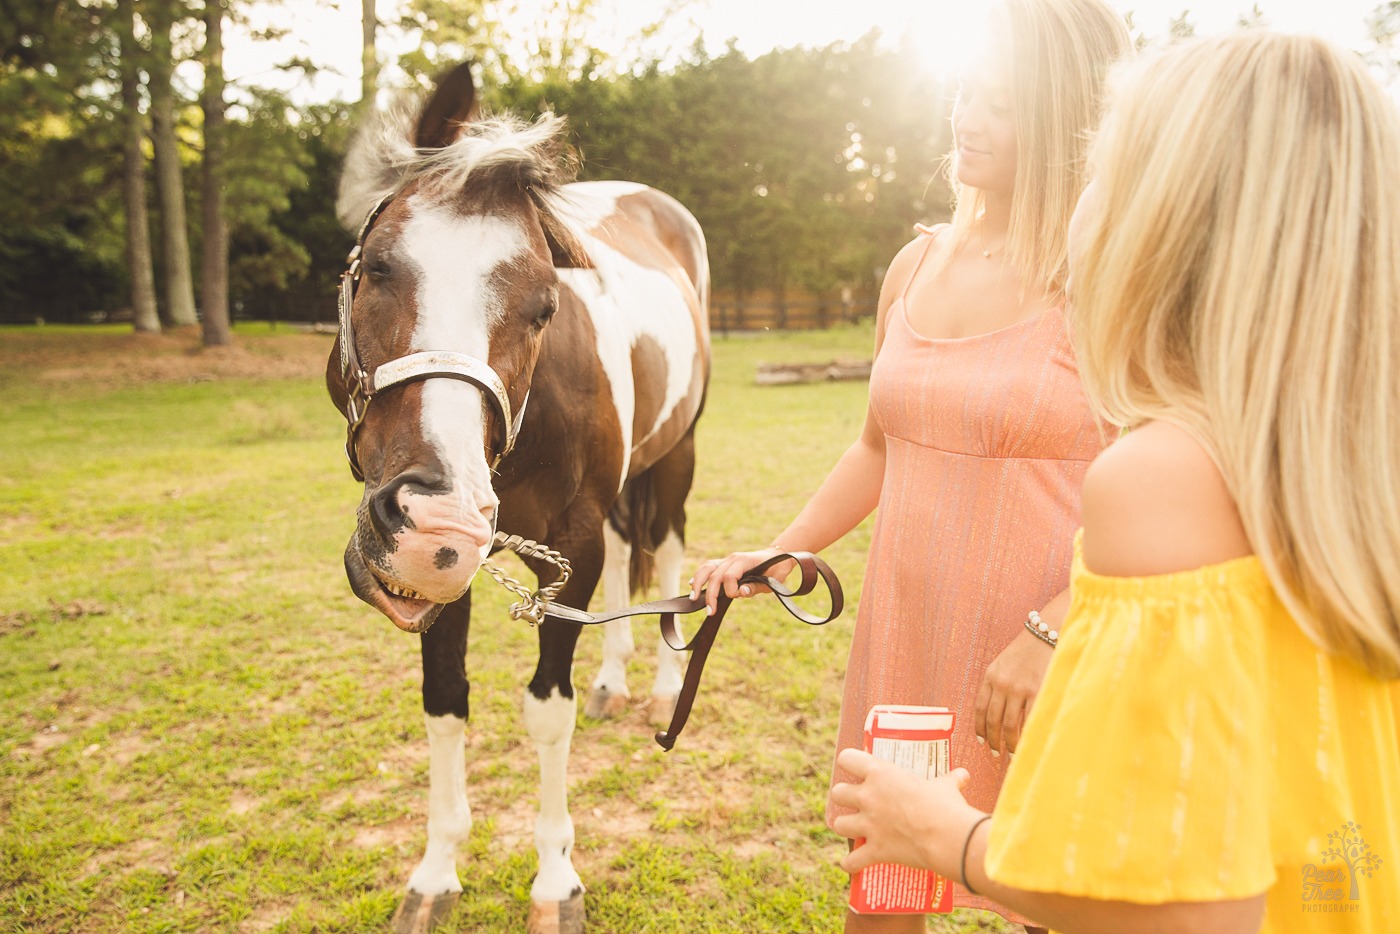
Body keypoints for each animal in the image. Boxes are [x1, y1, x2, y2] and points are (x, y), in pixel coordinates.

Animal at [327, 61, 711, 929]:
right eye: (377, 268)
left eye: (544, 307)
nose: (432, 522)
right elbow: (444, 701)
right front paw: (436, 873)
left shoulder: (569, 548)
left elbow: (545, 709)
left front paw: (555, 880)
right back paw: (614, 680)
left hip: (675, 458)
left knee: (668, 551)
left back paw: (661, 684)